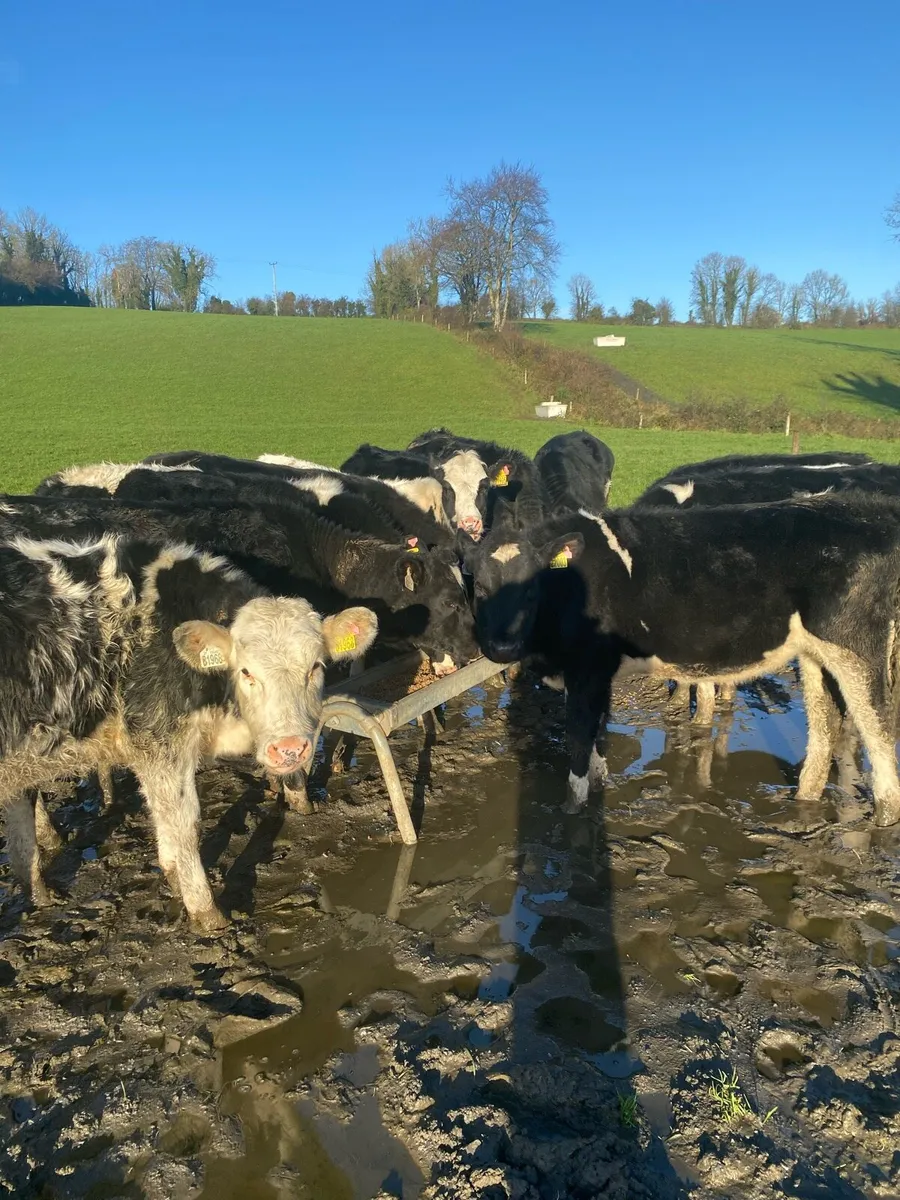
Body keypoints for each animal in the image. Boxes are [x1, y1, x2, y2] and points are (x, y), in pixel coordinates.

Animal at [0, 532, 377, 927]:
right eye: (246, 671)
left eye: (316, 666)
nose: (289, 748)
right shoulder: (159, 741)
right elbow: (185, 824)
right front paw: (207, 912)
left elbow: (165, 822)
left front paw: (172, 875)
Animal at [466, 493, 900, 826]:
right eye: (480, 587)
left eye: (531, 590)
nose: (501, 648)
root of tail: (874, 513)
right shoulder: (596, 673)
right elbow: (596, 731)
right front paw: (599, 780)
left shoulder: (587, 668)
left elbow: (578, 735)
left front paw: (572, 806)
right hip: (814, 653)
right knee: (824, 727)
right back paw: (803, 803)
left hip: (855, 647)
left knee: (879, 733)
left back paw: (883, 820)